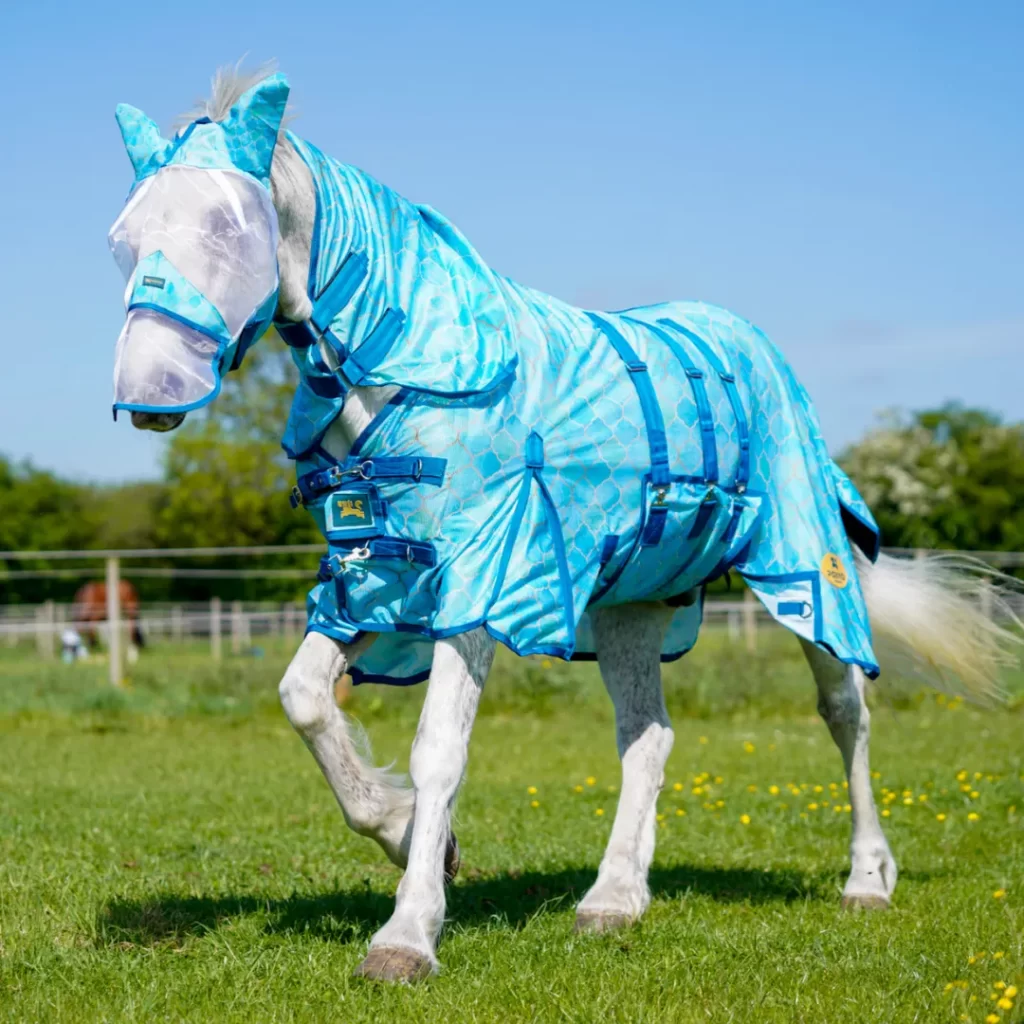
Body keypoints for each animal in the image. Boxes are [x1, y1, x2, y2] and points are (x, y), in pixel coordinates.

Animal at [107, 67, 1019, 982]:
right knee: (647, 737)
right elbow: (303, 699)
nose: (149, 393)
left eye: (227, 227)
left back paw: (867, 879)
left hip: (805, 569)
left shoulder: (475, 583)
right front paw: (409, 836)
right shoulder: (376, 580)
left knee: (844, 710)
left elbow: (440, 749)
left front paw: (407, 935)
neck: (406, 369)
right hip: (630, 608)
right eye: (123, 239)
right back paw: (614, 899)